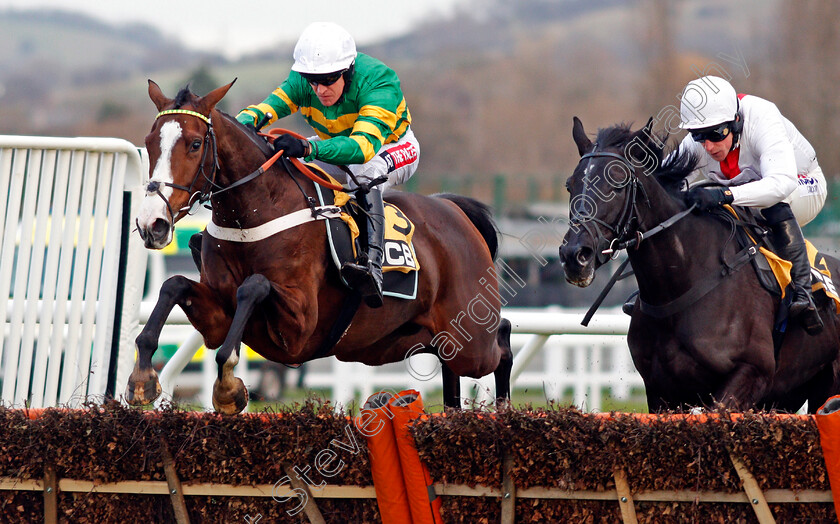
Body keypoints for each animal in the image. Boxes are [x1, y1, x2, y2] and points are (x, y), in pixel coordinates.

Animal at [126, 79, 512, 414]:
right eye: (150, 141)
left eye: (194, 143)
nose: (151, 223)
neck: (256, 212)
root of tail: (453, 208)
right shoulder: (218, 316)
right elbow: (173, 285)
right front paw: (141, 379)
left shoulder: (299, 326)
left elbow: (253, 287)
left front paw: (227, 389)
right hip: (396, 342)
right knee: (452, 360)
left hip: (471, 341)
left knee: (502, 341)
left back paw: (504, 411)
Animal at [560, 117, 840, 414]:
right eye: (570, 185)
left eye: (618, 181)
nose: (574, 255)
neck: (679, 287)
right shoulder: (660, 392)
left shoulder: (752, 373)